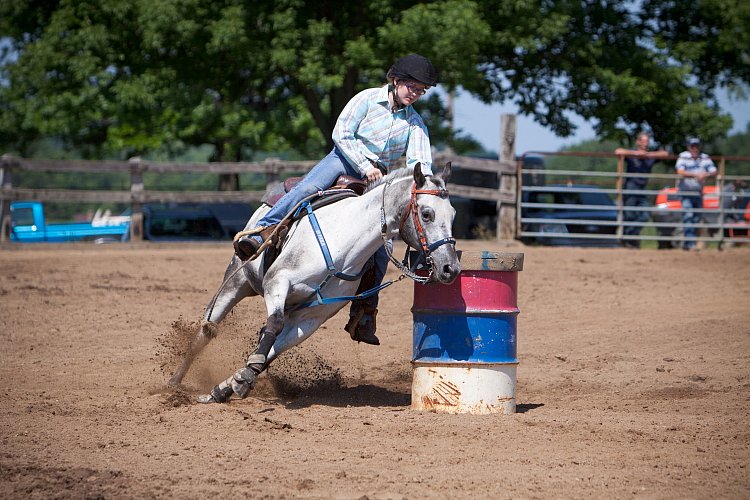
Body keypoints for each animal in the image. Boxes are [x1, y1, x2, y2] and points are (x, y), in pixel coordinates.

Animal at [170, 164, 462, 402]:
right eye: (426, 214)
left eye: (453, 214)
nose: (450, 268)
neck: (343, 242)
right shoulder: (277, 281)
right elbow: (273, 326)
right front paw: (239, 379)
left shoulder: (311, 317)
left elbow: (273, 348)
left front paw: (234, 383)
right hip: (238, 280)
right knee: (207, 330)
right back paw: (173, 383)